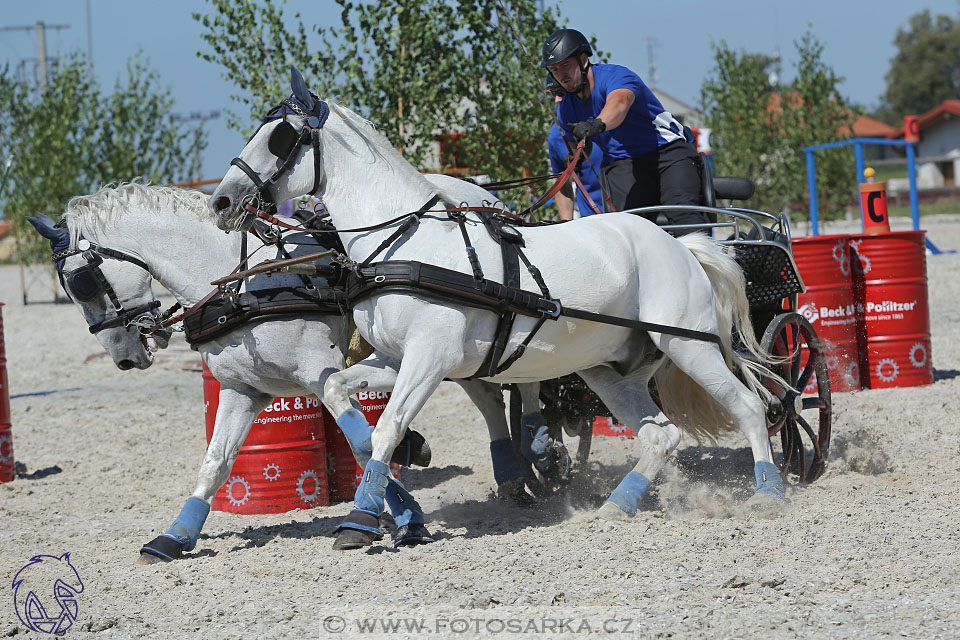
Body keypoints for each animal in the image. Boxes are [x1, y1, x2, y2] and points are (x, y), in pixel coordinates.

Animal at [24, 181, 540, 560]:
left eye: (79, 282)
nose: (124, 355)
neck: (243, 284)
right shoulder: (241, 390)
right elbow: (216, 462)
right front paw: (174, 536)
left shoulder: (320, 373)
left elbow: (362, 441)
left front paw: (406, 517)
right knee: (491, 397)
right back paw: (515, 474)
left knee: (520, 384)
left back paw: (538, 450)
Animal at [212, 71, 788, 552]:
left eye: (280, 137)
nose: (222, 202)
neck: (404, 241)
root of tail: (681, 244)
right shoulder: (396, 359)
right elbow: (338, 392)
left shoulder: (429, 359)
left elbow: (389, 425)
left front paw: (360, 521)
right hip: (609, 370)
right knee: (661, 435)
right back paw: (615, 507)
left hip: (689, 346)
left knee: (749, 408)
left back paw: (769, 494)